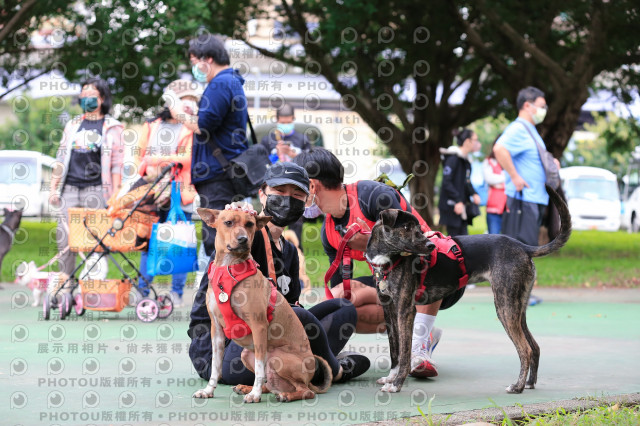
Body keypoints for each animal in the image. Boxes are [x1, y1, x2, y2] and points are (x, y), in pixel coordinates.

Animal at [194, 203, 332, 402]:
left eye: (250, 224)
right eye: (228, 222)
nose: (243, 239)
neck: (229, 269)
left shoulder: (258, 326)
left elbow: (260, 368)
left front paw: (255, 394)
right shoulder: (217, 330)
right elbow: (215, 366)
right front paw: (208, 391)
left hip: (277, 357)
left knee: (305, 391)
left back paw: (284, 395)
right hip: (246, 354)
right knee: (271, 383)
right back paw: (247, 387)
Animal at [368, 186, 572, 392]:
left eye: (419, 228)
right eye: (406, 228)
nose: (430, 245)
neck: (388, 260)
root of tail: (522, 246)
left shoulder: (406, 310)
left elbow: (404, 353)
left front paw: (396, 384)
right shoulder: (389, 310)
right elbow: (394, 349)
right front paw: (390, 377)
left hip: (505, 307)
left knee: (525, 349)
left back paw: (517, 387)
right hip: (518, 307)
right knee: (535, 346)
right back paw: (529, 383)